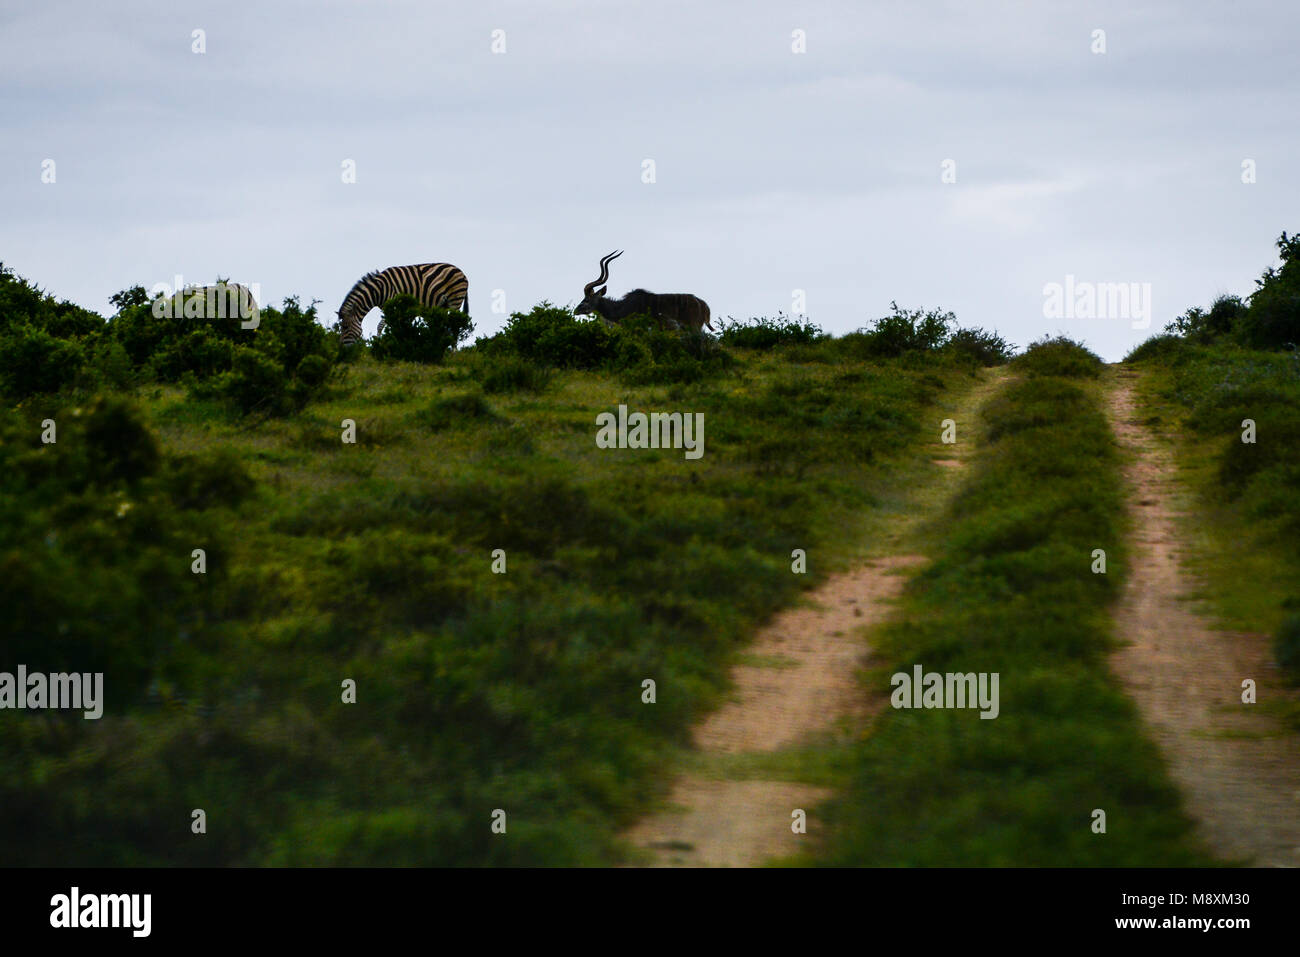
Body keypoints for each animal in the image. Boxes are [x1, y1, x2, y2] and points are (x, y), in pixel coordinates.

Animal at [338, 263, 470, 345]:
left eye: (345, 327)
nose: (342, 349)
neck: (379, 290)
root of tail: (462, 272)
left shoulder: (392, 304)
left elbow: (381, 326)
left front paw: (379, 343)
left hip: (455, 301)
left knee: (454, 326)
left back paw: (452, 352)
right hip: (443, 306)